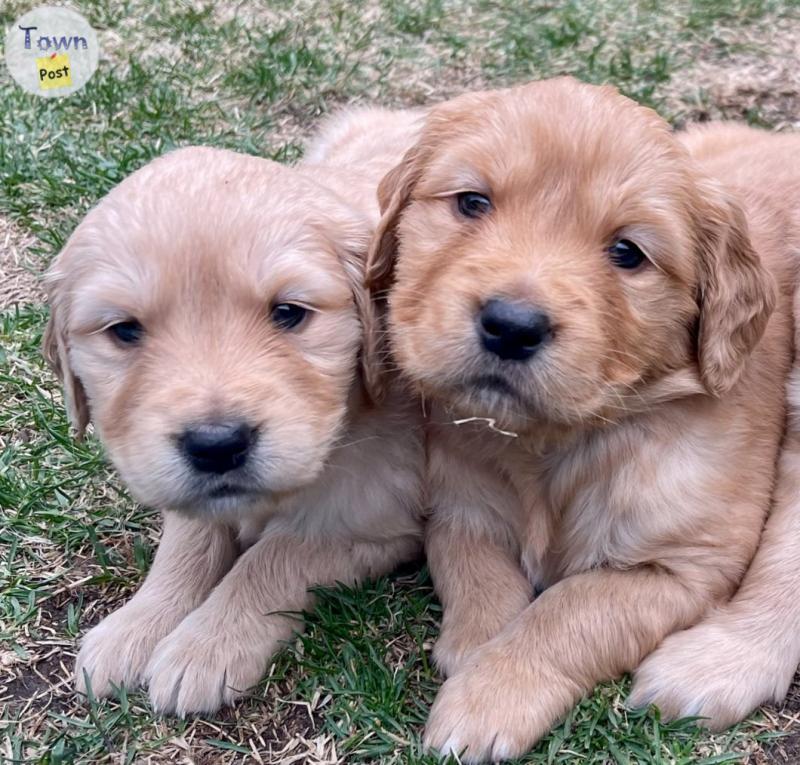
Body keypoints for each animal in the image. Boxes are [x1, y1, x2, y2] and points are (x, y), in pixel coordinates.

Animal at [45, 109, 424, 716]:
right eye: (124, 331)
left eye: (289, 313)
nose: (217, 444)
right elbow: (187, 543)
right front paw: (137, 627)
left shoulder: (379, 515)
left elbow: (272, 557)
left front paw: (204, 648)